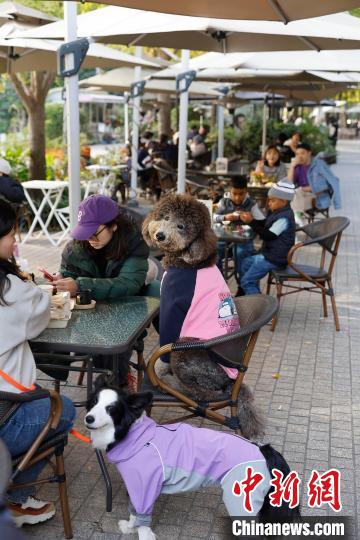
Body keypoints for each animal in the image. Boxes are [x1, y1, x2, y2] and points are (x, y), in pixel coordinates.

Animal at [86, 376, 300, 540]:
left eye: (111, 409)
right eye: (94, 402)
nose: (88, 418)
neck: (135, 438)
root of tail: (262, 449)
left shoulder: (144, 488)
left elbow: (142, 520)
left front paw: (139, 532)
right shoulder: (137, 487)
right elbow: (134, 514)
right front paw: (130, 528)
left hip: (239, 503)